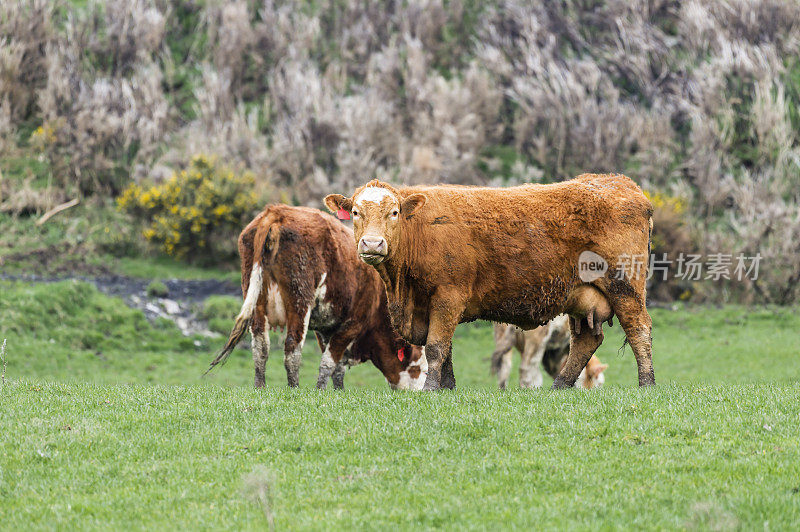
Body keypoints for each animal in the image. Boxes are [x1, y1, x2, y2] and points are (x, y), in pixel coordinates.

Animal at [209, 204, 428, 390]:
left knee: (260, 346)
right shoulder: (351, 323)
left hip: (256, 298)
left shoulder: (327, 327)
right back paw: (294, 388)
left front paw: (339, 390)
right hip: (299, 299)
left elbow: (337, 366)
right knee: (292, 347)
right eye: (422, 370)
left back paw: (260, 386)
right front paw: (321, 390)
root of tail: (277, 212)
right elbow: (329, 362)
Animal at [324, 175, 656, 390]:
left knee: (639, 330)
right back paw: (560, 386)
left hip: (625, 287)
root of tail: (620, 183)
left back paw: (647, 384)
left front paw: (431, 389)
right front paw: (448, 388)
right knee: (586, 341)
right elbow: (446, 350)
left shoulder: (448, 296)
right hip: (581, 298)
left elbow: (436, 347)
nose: (372, 243)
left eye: (394, 212)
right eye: (355, 212)